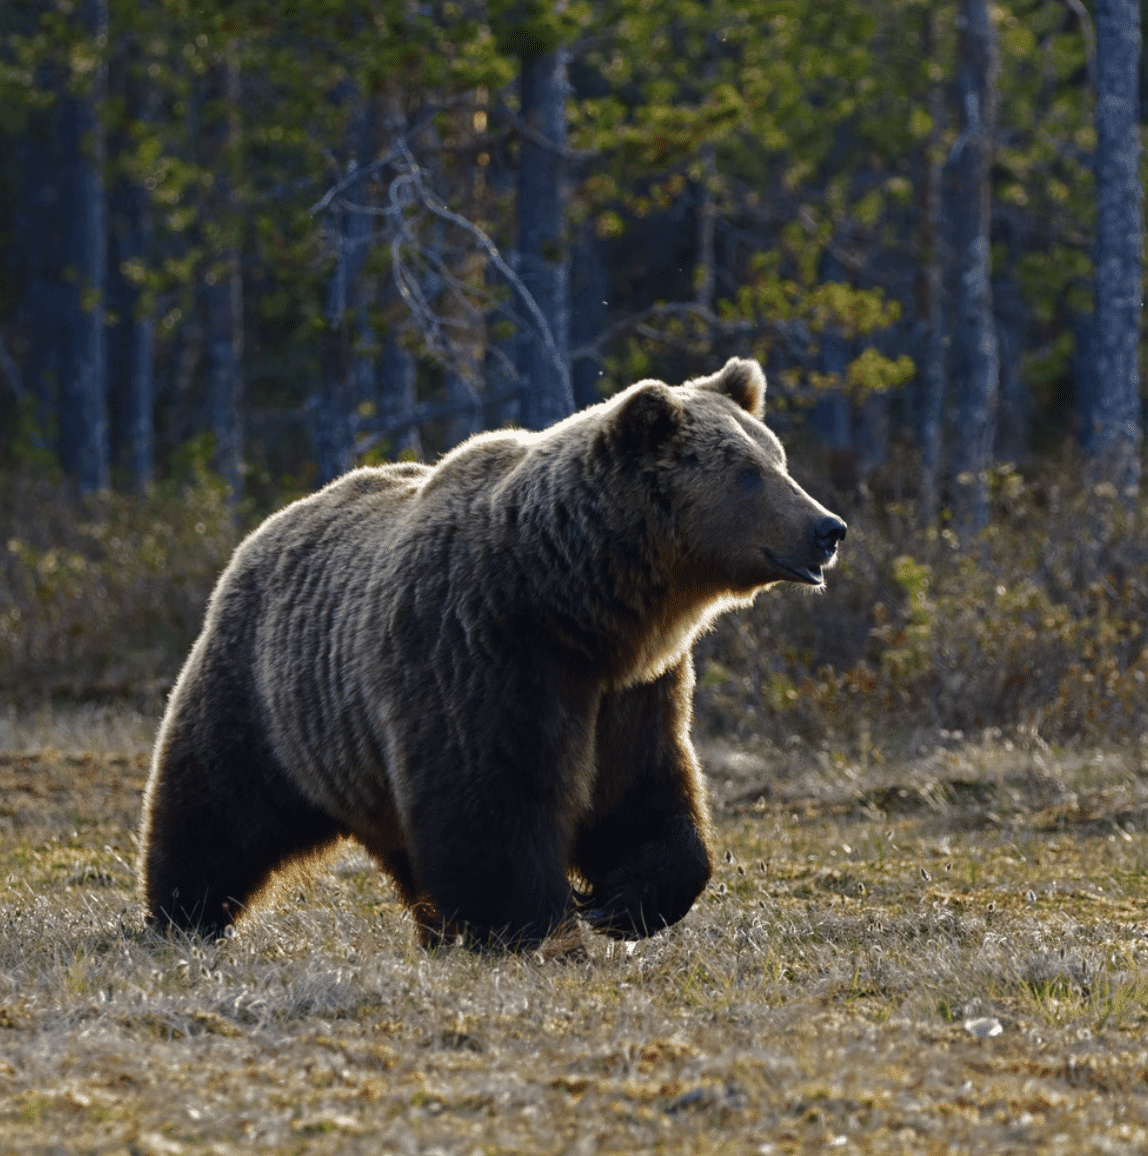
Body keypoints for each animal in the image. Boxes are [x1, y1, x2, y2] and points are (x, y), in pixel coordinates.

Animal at [138, 358, 846, 947]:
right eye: (749, 474)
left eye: (779, 460)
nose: (828, 528)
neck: (577, 604)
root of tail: (268, 526)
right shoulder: (480, 650)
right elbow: (492, 799)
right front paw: (537, 925)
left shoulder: (635, 687)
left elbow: (644, 788)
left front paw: (621, 901)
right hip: (266, 692)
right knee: (214, 805)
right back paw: (182, 915)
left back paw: (435, 929)